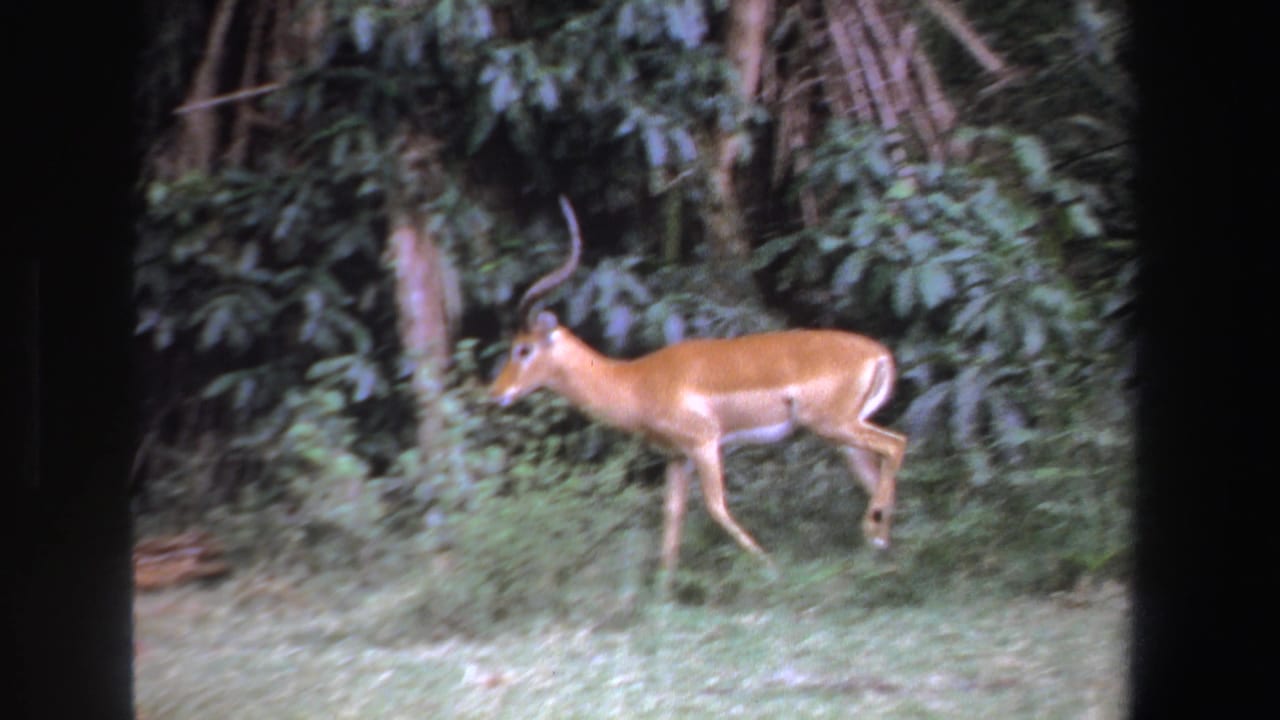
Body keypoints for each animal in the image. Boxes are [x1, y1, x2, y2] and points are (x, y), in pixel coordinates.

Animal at [490, 196, 907, 587]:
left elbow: (716, 506)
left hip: (833, 425)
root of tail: (878, 353)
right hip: (841, 437)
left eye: (523, 349)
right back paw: (879, 550)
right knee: (876, 470)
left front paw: (773, 570)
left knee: (896, 444)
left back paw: (876, 536)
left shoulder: (705, 442)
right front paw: (663, 592)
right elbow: (672, 517)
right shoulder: (678, 457)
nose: (496, 394)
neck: (635, 381)